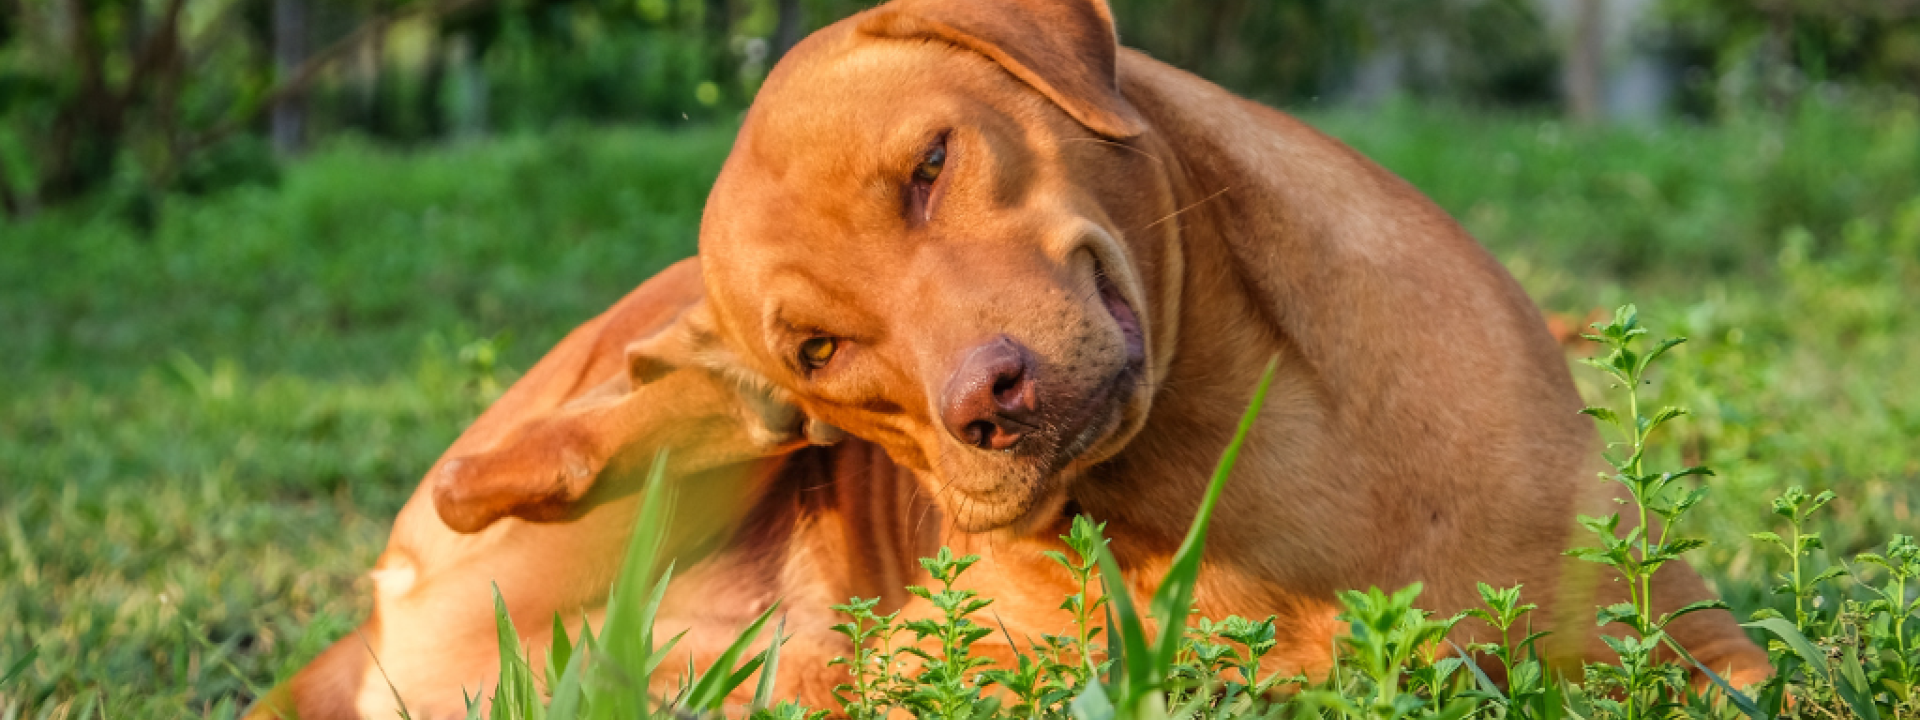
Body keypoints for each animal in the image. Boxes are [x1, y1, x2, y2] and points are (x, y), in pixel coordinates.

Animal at [691, 0, 1766, 687]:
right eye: (819, 350)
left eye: (931, 164)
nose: (987, 402)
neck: (1231, 458)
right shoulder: (919, 664)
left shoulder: (1693, 644)